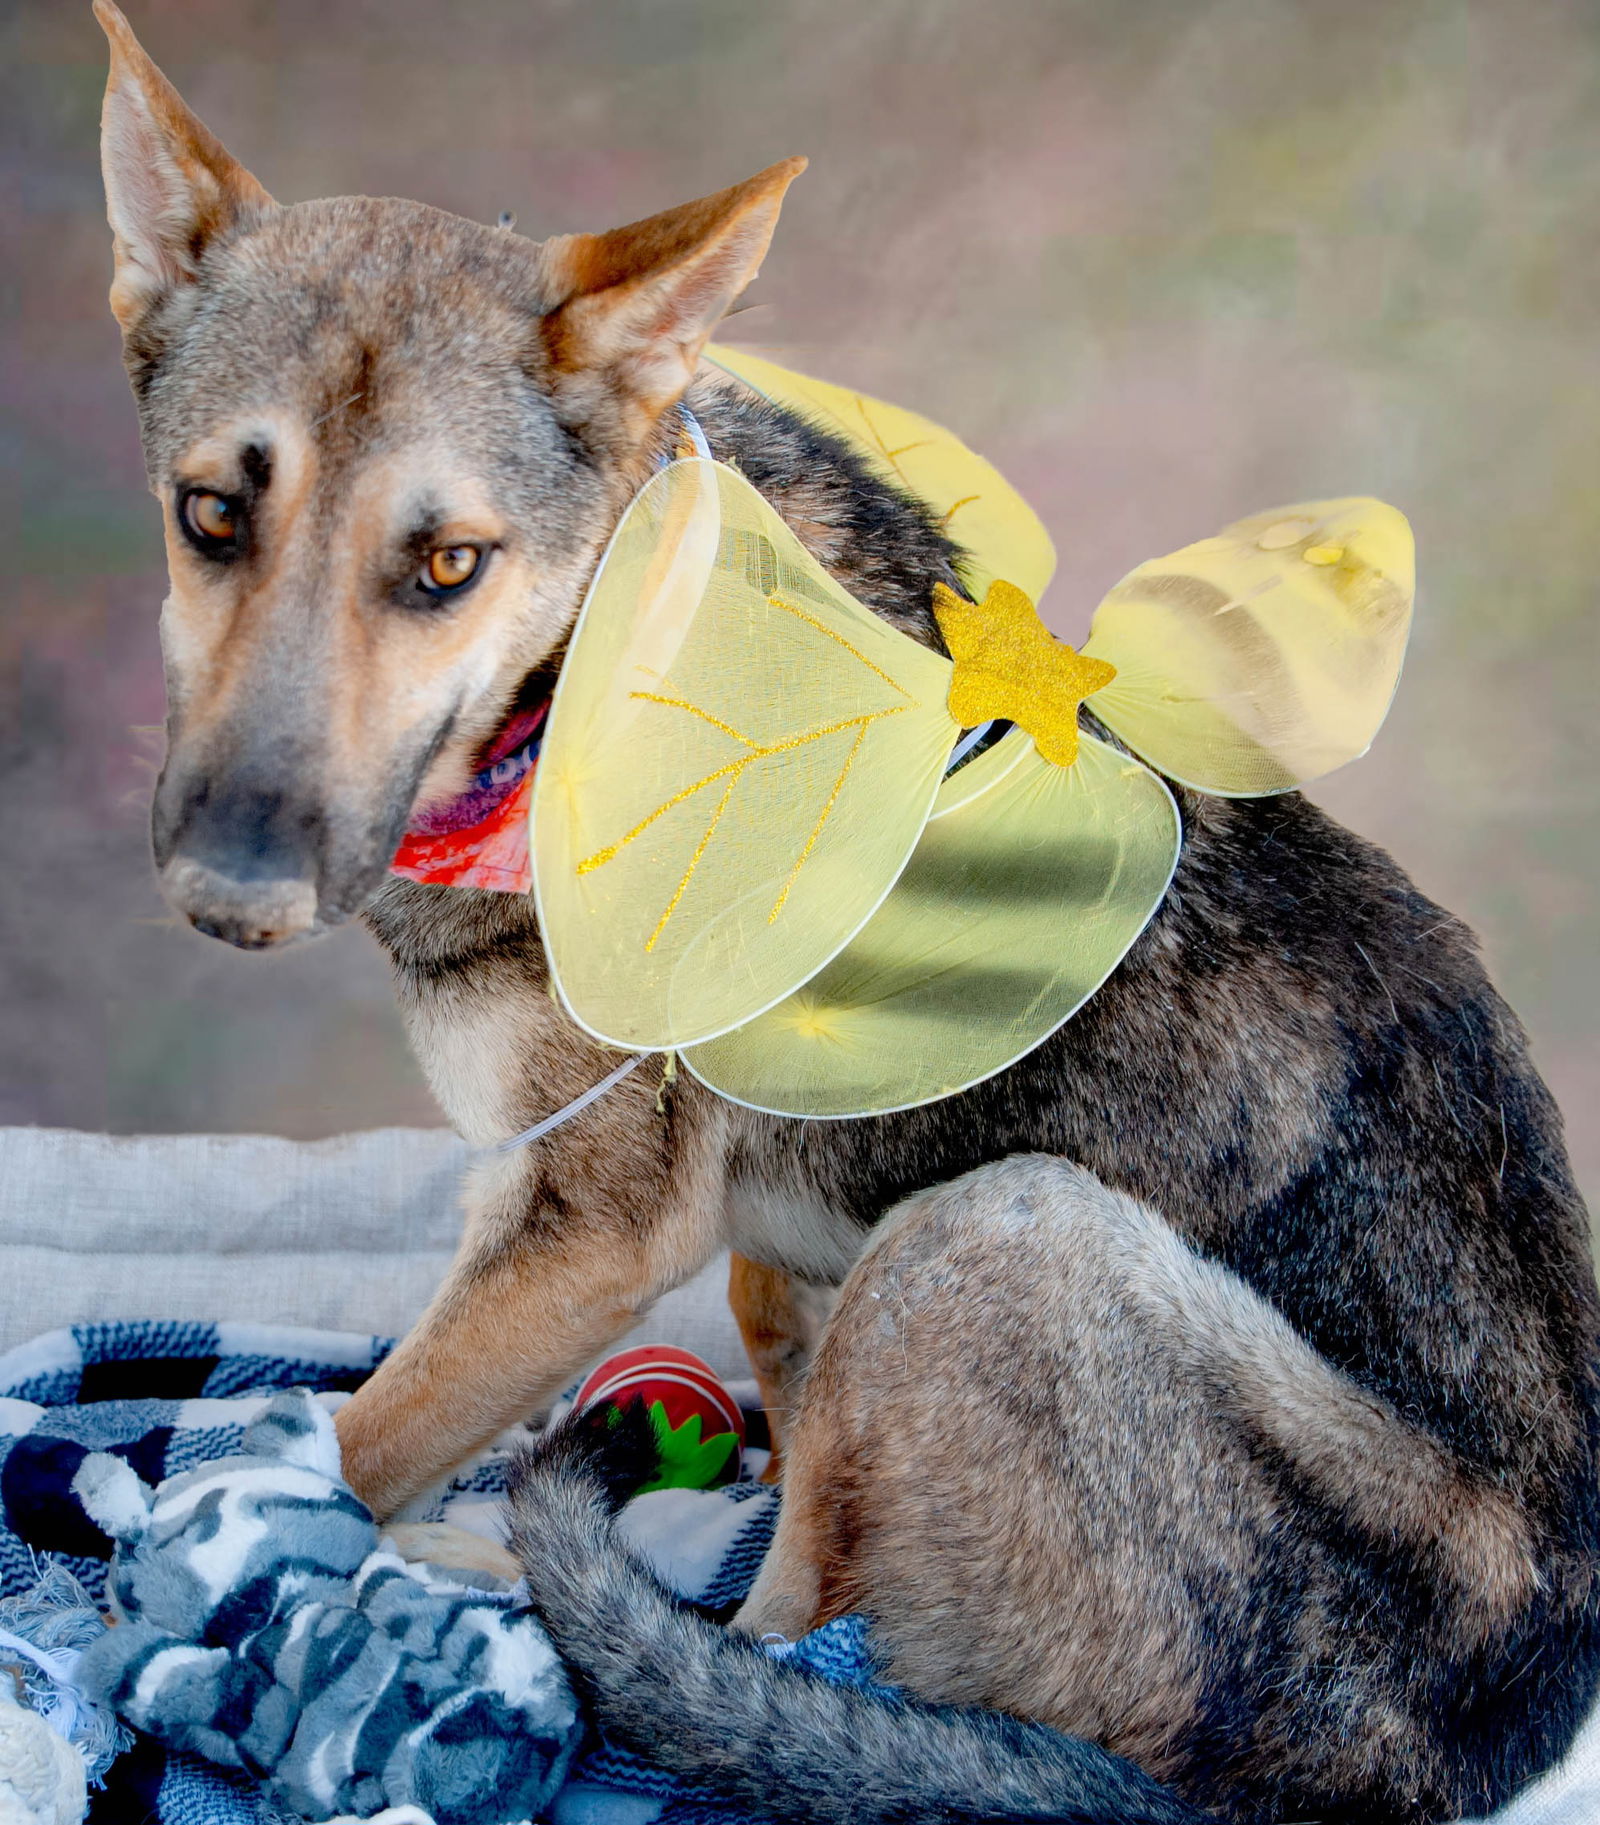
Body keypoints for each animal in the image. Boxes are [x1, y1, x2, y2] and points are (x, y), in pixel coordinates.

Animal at [96, 7, 1598, 1817]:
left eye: (447, 565)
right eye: (211, 517)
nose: (226, 894)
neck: (597, 661)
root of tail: (1455, 1759)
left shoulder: (574, 1246)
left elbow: (359, 1439)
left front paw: (238, 1551)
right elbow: (766, 1355)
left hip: (997, 1227)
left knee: (785, 1629)